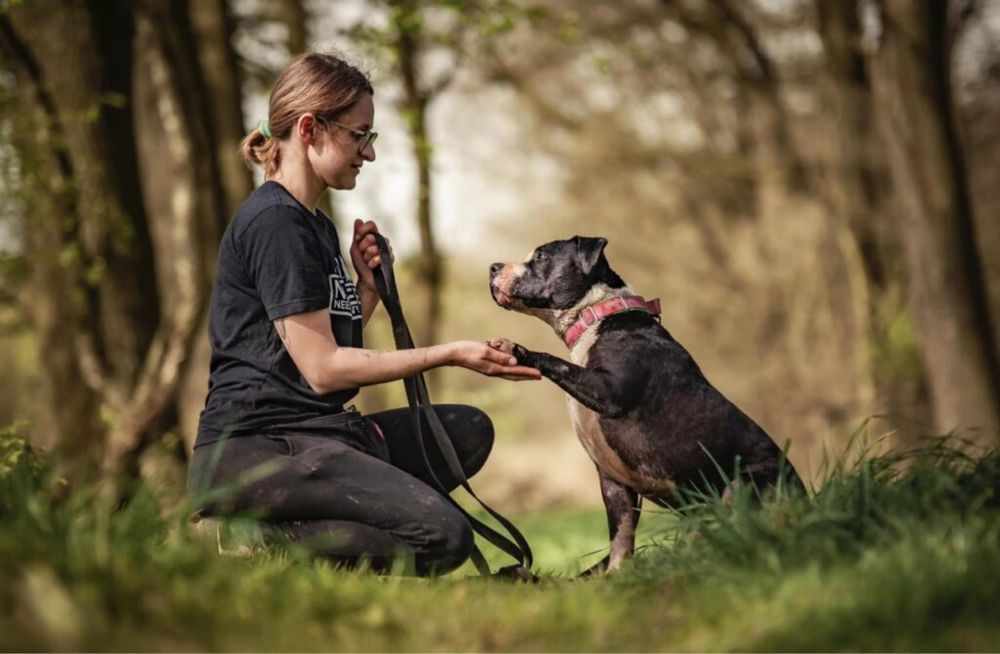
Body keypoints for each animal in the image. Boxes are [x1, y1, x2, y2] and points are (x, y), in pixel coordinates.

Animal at [488, 237, 800, 576]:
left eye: (541, 256)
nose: (493, 266)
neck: (598, 314)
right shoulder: (614, 482)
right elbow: (621, 537)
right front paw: (614, 576)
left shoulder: (608, 392)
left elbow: (557, 362)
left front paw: (518, 350)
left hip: (744, 485)